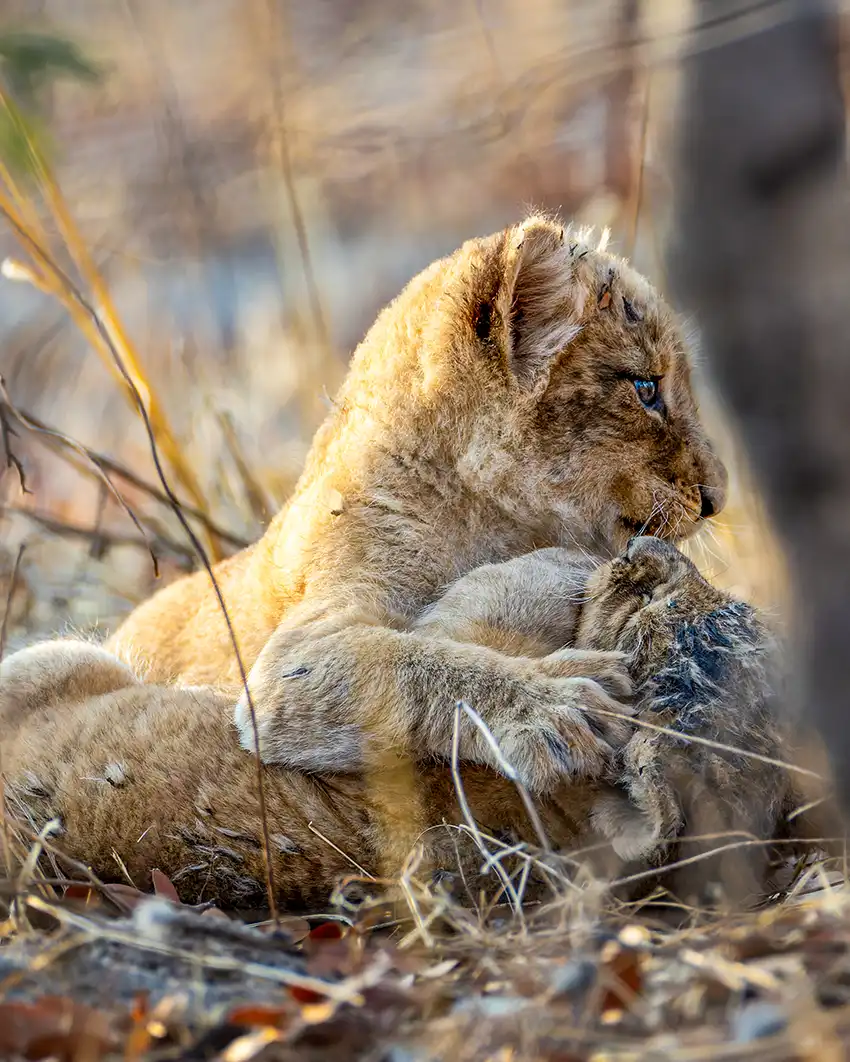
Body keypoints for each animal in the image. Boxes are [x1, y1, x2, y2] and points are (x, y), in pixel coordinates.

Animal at [1, 538, 822, 912]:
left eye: (655, 609)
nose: (642, 548)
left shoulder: (459, 633)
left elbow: (478, 620)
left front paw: (562, 571)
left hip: (56, 659)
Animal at [106, 214, 728, 799]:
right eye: (646, 389)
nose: (718, 498)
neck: (482, 513)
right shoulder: (287, 668)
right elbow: (416, 664)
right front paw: (556, 705)